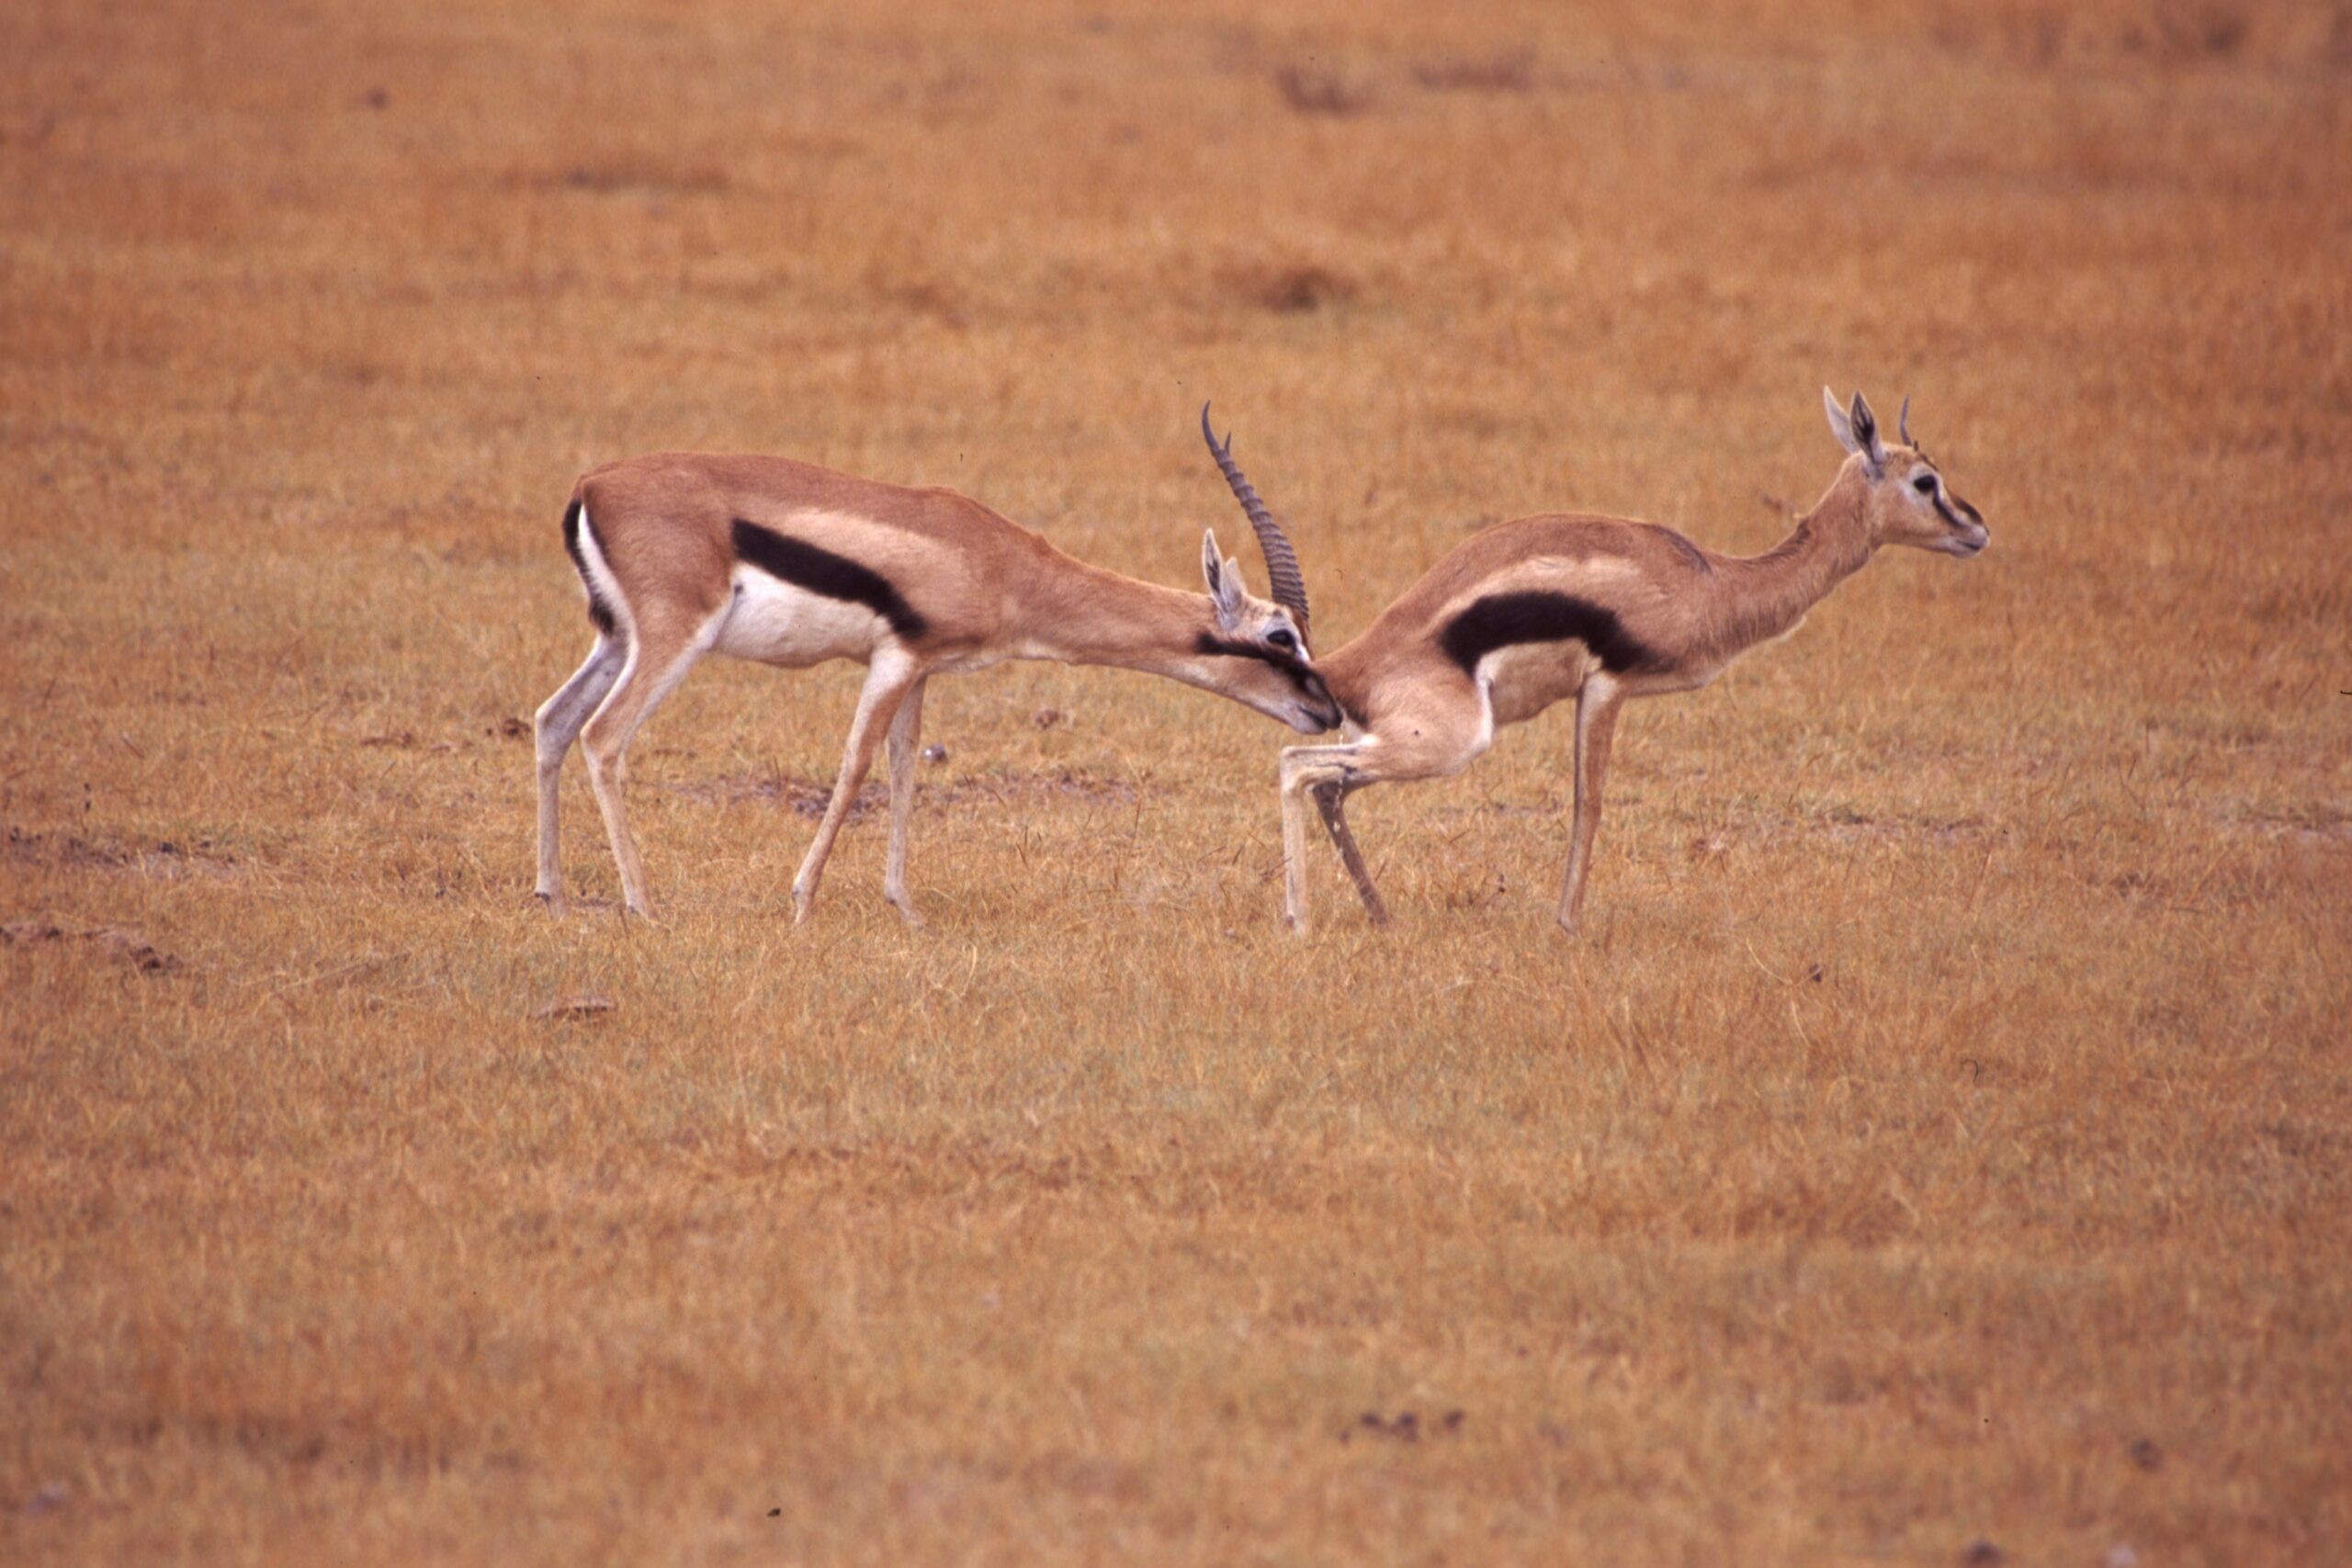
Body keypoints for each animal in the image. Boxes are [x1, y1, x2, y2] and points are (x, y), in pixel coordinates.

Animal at [534, 422, 1337, 922]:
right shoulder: (895, 659)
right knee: (604, 738)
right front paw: (802, 901)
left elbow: (902, 766)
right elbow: (857, 764)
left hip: (616, 639)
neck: (1003, 565)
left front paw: (906, 909)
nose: (1328, 711)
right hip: (673, 638)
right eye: (1281, 636)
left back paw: (554, 897)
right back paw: (642, 905)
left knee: (552, 721)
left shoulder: (921, 668)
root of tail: (591, 486)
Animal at [1205, 390, 1989, 934]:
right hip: (1448, 743)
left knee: (1330, 790)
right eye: (1925, 482)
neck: (1712, 582)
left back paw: (1382, 917)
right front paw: (1567, 924)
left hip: (1390, 742)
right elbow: (1591, 803)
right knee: (1295, 767)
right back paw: (1299, 923)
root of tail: (1346, 663)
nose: (1978, 528)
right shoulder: (1610, 685)